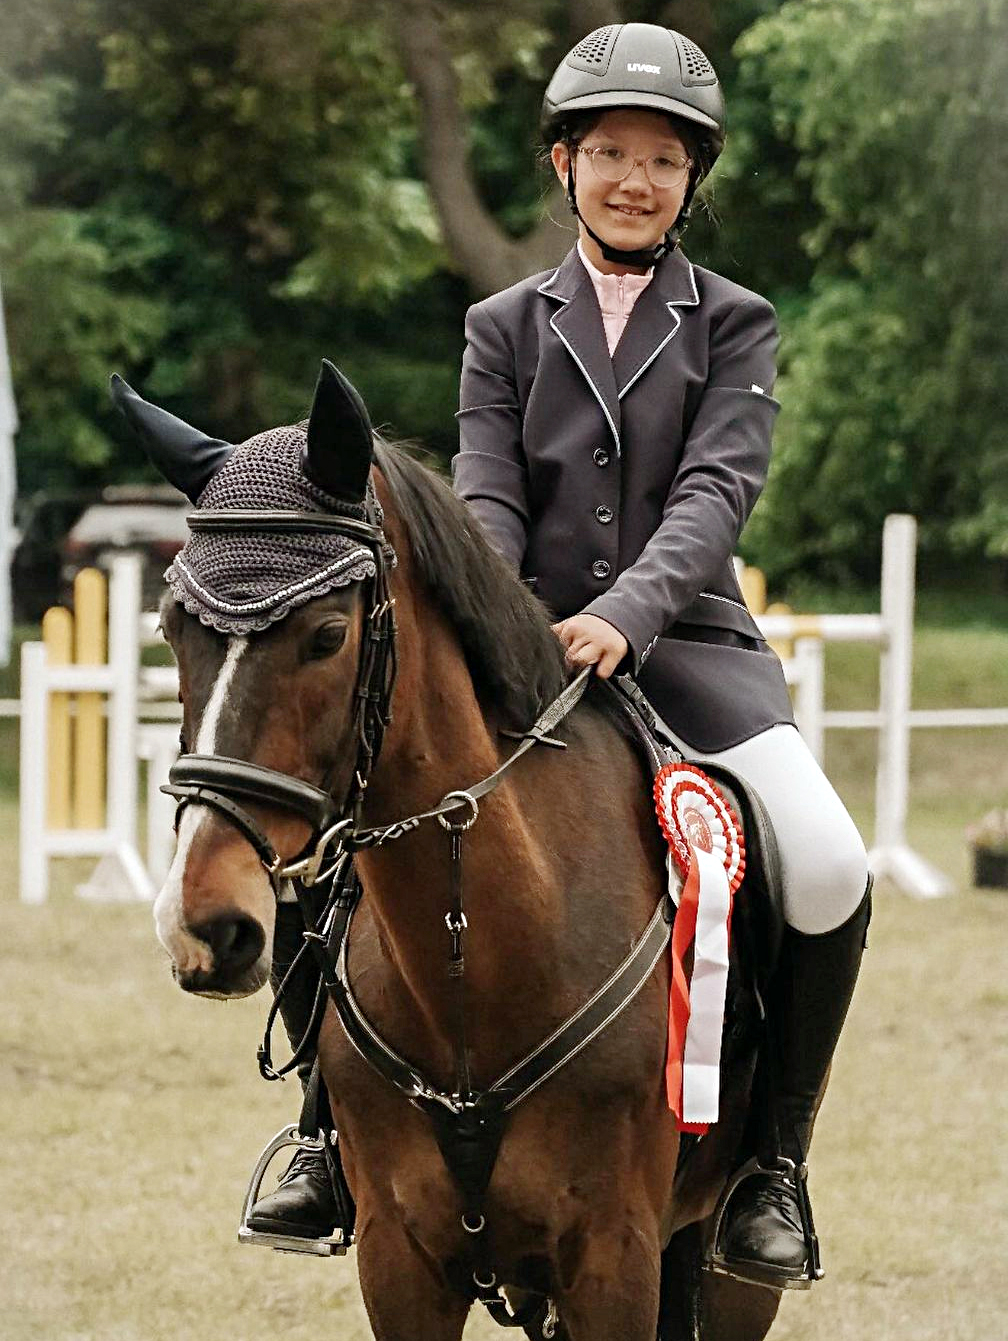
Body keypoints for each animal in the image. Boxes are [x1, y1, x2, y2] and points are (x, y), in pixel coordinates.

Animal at [120, 361, 784, 1340]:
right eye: (172, 628)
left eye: (327, 634)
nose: (205, 925)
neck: (480, 952)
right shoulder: (399, 1262)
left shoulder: (615, 1259)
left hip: (726, 1271)